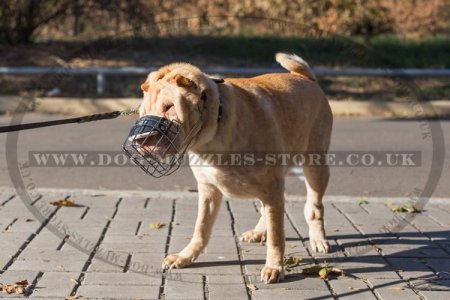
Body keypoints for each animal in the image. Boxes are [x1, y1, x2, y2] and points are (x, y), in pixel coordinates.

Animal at [139, 52, 332, 282]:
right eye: (144, 111)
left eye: (169, 107)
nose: (143, 140)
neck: (214, 129)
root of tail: (306, 78)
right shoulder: (209, 190)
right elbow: (200, 229)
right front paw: (185, 256)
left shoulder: (272, 187)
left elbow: (277, 237)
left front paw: (274, 267)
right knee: (268, 211)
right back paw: (258, 232)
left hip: (314, 167)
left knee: (314, 207)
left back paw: (317, 239)